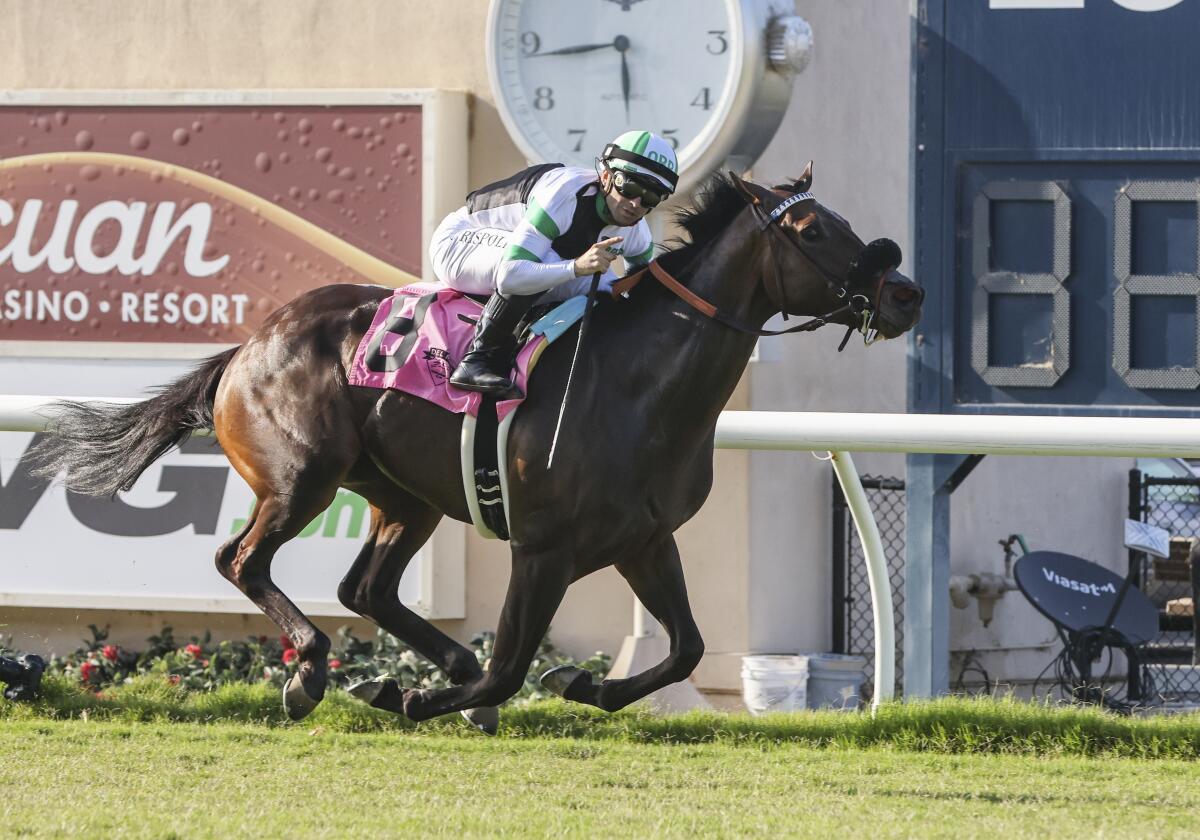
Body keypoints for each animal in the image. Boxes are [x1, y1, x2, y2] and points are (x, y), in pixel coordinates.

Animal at [30, 164, 926, 729]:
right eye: (812, 229)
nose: (906, 292)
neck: (637, 385)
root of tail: (248, 345)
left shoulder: (642, 539)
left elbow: (685, 649)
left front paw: (579, 682)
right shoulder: (544, 547)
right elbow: (511, 664)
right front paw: (418, 699)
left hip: (405, 497)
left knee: (365, 588)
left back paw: (426, 666)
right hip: (302, 478)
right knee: (242, 560)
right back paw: (313, 672)